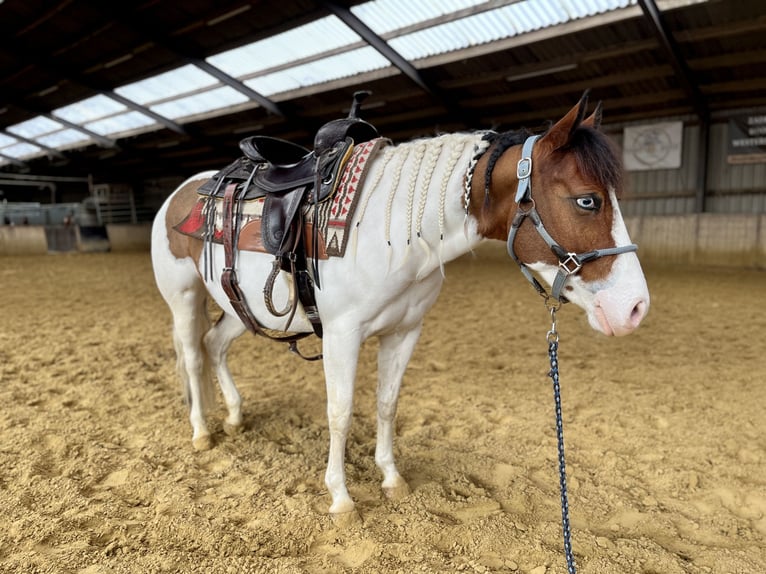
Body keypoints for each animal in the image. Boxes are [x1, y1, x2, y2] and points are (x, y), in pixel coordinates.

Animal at [150, 92, 649, 521]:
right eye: (587, 200)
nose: (635, 308)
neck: (391, 234)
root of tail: (180, 194)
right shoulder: (341, 335)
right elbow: (340, 412)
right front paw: (341, 498)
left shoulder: (405, 331)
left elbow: (387, 403)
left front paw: (391, 479)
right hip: (184, 297)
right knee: (193, 355)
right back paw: (202, 431)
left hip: (238, 305)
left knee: (215, 345)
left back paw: (235, 416)